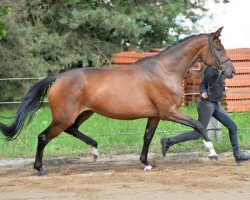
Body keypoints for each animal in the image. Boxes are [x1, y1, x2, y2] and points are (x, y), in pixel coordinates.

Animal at [0, 27, 234, 175]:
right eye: (219, 48)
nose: (231, 72)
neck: (165, 71)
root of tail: (58, 77)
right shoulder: (169, 112)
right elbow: (198, 125)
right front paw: (212, 152)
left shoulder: (155, 115)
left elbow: (147, 137)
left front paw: (146, 164)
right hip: (63, 117)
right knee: (43, 137)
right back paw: (40, 169)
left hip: (83, 113)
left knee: (72, 130)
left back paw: (95, 151)